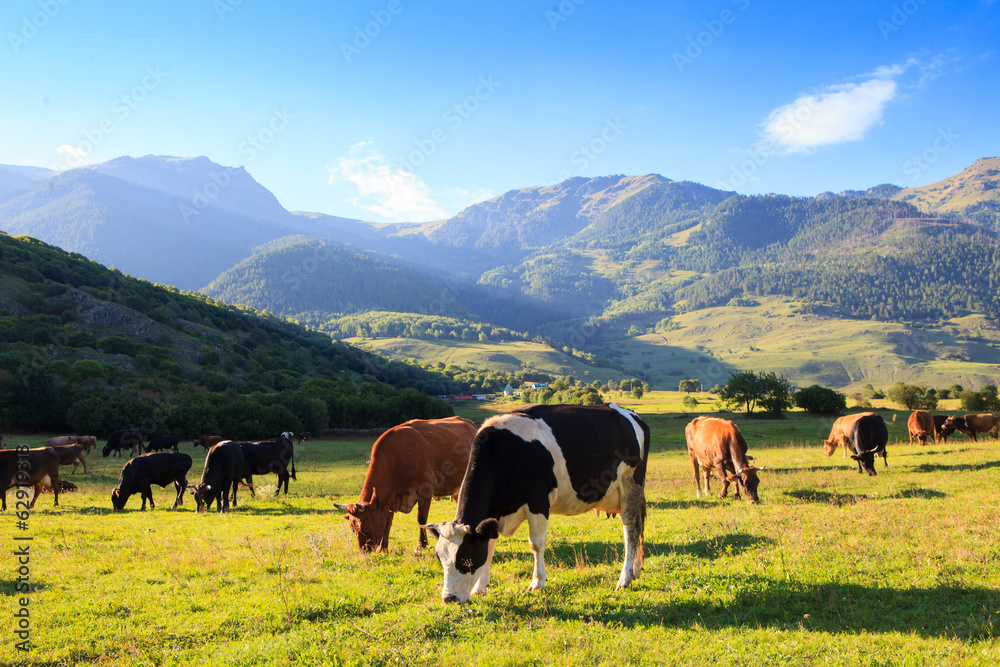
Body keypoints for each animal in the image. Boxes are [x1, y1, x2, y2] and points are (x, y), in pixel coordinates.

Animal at [336, 418, 476, 552]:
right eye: (352, 528)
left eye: (366, 526)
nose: (364, 551)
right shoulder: (389, 499)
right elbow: (388, 522)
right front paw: (383, 548)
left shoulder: (425, 492)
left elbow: (421, 519)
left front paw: (421, 545)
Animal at [422, 402, 648, 604]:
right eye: (440, 559)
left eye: (465, 558)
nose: (449, 598)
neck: (504, 452)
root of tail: (630, 414)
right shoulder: (493, 516)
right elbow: (490, 546)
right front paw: (480, 587)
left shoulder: (538, 503)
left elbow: (536, 544)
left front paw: (537, 583)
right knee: (638, 527)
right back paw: (635, 571)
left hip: (630, 484)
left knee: (631, 529)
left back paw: (624, 578)